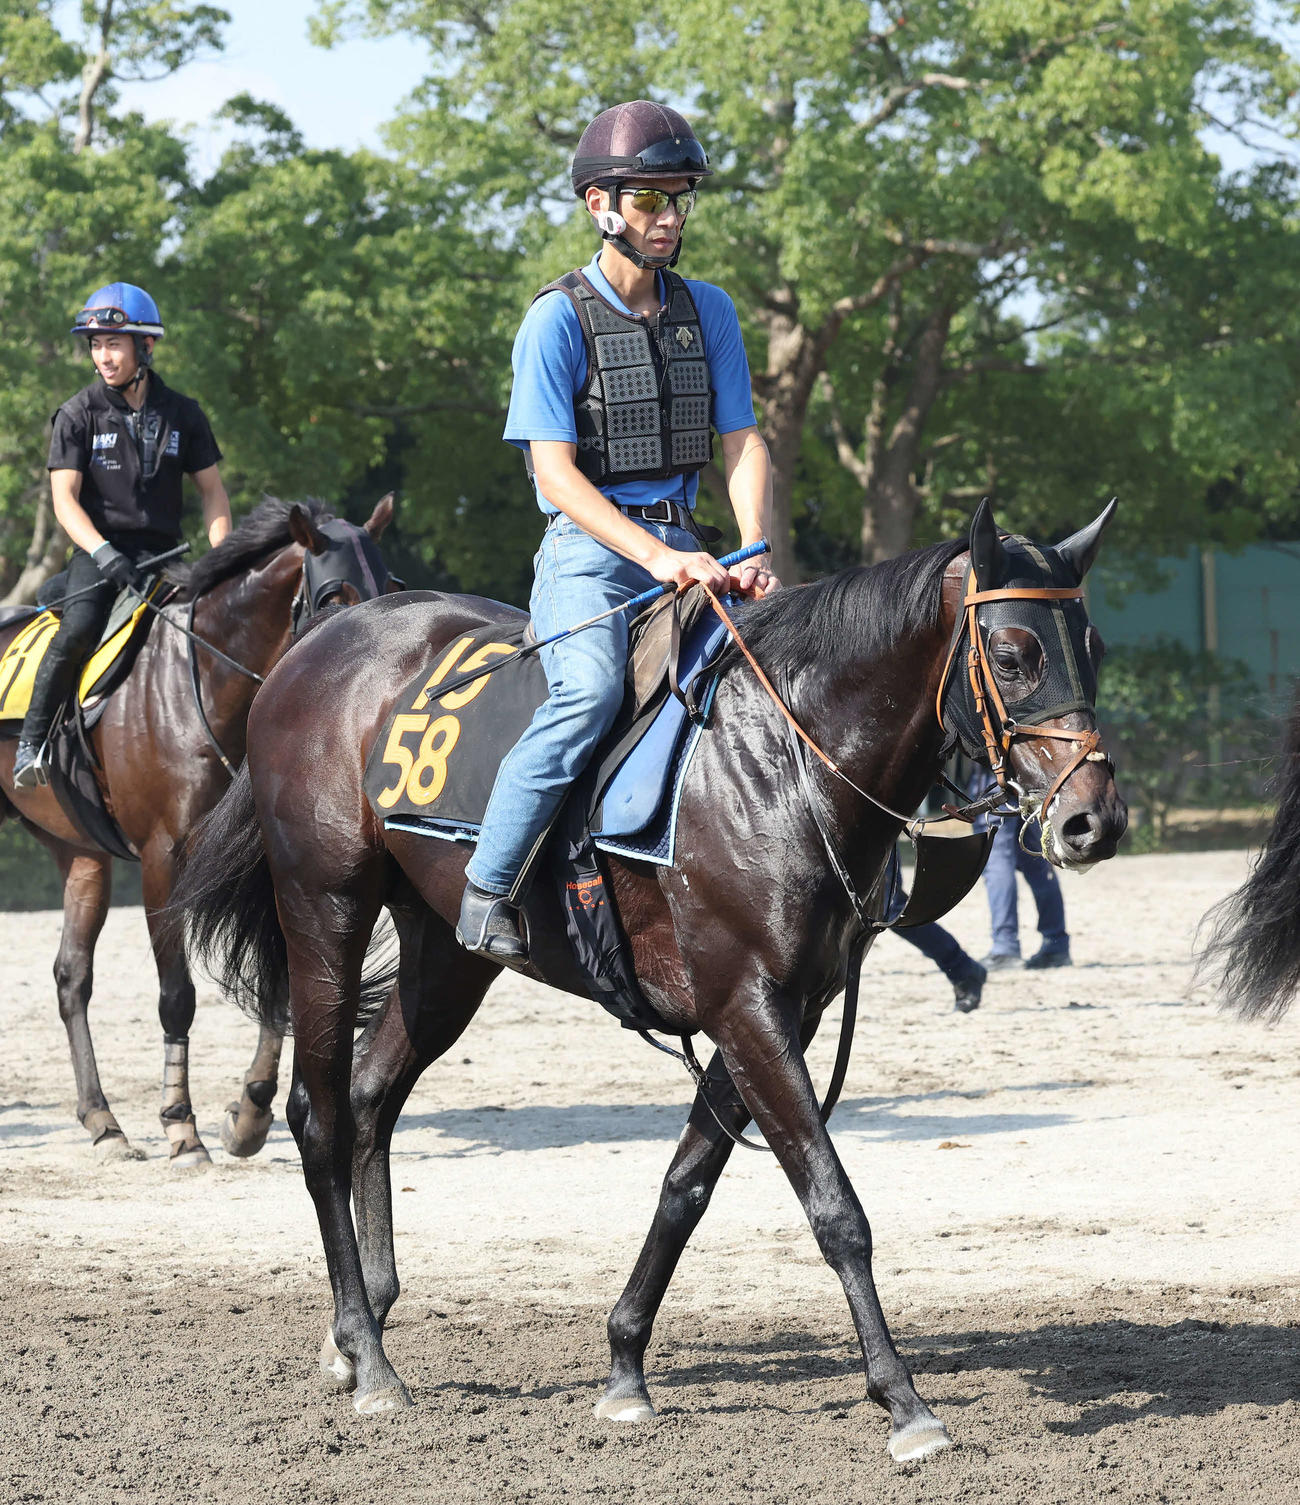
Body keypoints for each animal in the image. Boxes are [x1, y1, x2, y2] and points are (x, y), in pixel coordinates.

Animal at [0, 493, 396, 1166]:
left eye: (390, 587)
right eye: (333, 595)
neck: (206, 687)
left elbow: (281, 983)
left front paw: (250, 1112)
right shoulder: (163, 859)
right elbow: (176, 994)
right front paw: (180, 1125)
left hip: (79, 855)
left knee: (71, 977)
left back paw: (103, 1120)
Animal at [175, 500, 1126, 1460]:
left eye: (1093, 644)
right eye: (1013, 653)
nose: (1095, 820)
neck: (782, 762)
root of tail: (318, 645)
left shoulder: (781, 1014)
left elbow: (685, 1187)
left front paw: (625, 1364)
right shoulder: (748, 1008)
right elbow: (833, 1206)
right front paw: (902, 1399)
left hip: (445, 956)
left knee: (373, 1097)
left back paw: (361, 1324)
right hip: (325, 911)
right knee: (322, 1115)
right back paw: (367, 1356)